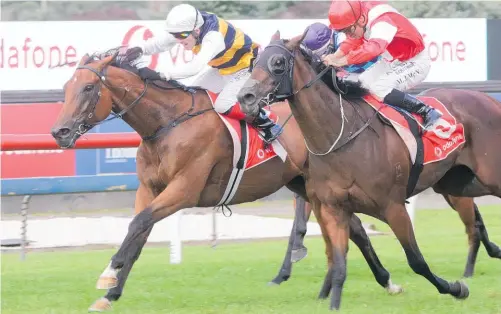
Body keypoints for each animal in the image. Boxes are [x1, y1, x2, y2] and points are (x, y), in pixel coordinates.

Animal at [49, 49, 402, 312]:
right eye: (66, 88)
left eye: (89, 88)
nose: (59, 131)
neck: (167, 125)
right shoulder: (149, 189)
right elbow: (137, 234)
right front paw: (110, 295)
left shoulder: (183, 190)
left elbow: (138, 224)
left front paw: (107, 276)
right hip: (306, 185)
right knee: (354, 228)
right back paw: (373, 282)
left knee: (352, 228)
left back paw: (381, 282)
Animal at [236, 30, 500, 310]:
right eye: (254, 62)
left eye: (278, 63)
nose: (245, 97)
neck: (342, 138)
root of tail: (488, 99)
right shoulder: (334, 209)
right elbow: (339, 264)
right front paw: (333, 304)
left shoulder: (393, 207)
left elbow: (417, 261)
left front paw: (456, 288)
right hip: (459, 183)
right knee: (474, 221)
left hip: (488, 177)